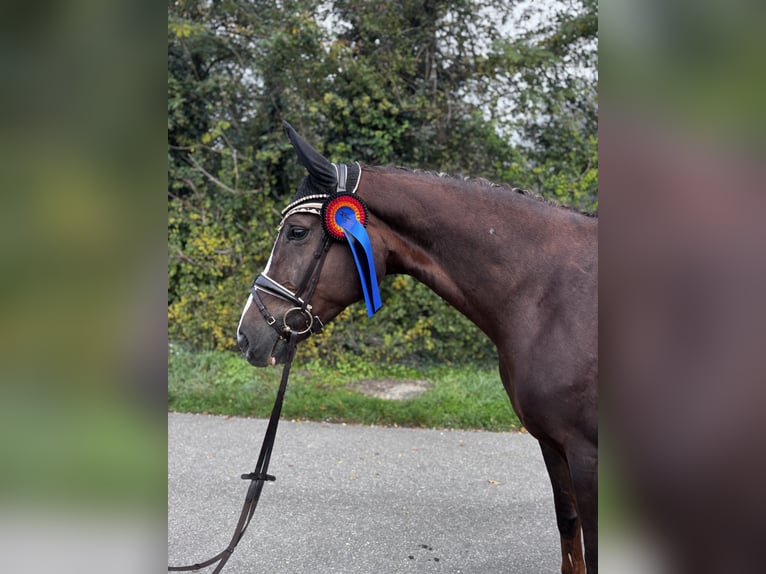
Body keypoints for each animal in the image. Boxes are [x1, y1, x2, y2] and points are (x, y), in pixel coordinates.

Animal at [236, 122, 598, 573]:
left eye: (297, 232)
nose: (246, 334)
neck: (550, 295)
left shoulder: (587, 455)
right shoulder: (553, 444)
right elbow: (569, 529)